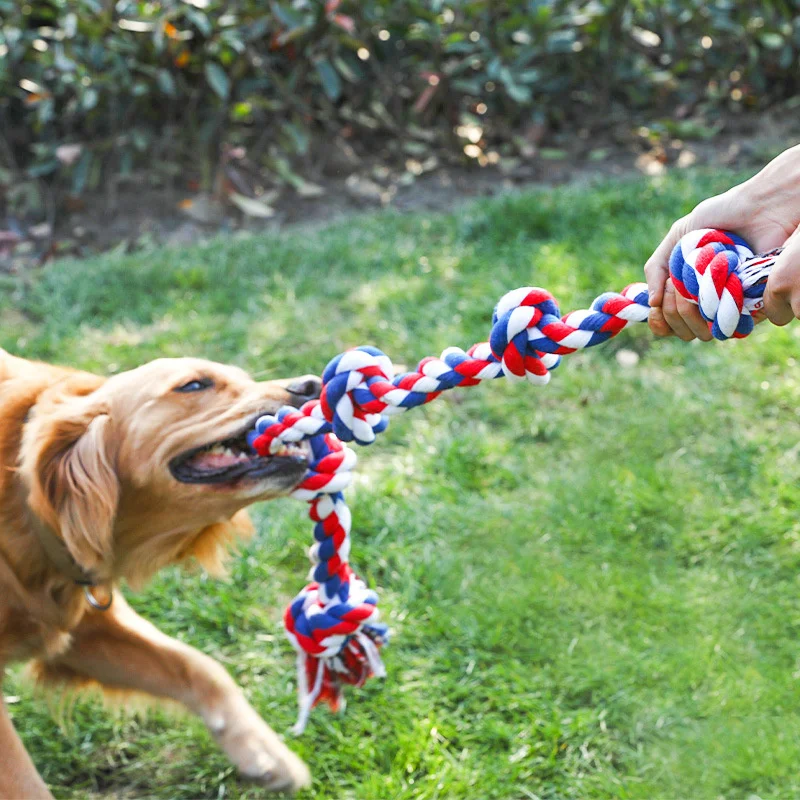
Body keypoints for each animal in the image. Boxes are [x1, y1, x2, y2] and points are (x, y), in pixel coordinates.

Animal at [1, 348, 324, 792]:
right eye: (194, 384)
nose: (313, 384)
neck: (27, 502)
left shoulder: (86, 631)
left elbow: (199, 667)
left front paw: (266, 755)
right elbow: (23, 780)